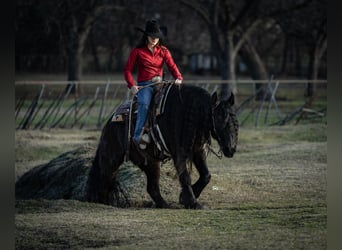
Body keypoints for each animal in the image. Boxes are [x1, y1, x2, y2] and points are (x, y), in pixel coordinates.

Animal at [86, 84, 238, 209]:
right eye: (220, 119)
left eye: (235, 120)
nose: (231, 149)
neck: (188, 114)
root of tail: (110, 121)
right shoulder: (179, 154)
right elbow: (185, 177)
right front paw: (192, 202)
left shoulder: (197, 152)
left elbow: (206, 175)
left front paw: (185, 198)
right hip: (111, 159)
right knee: (103, 177)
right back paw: (100, 200)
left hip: (150, 162)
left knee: (151, 187)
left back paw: (163, 204)